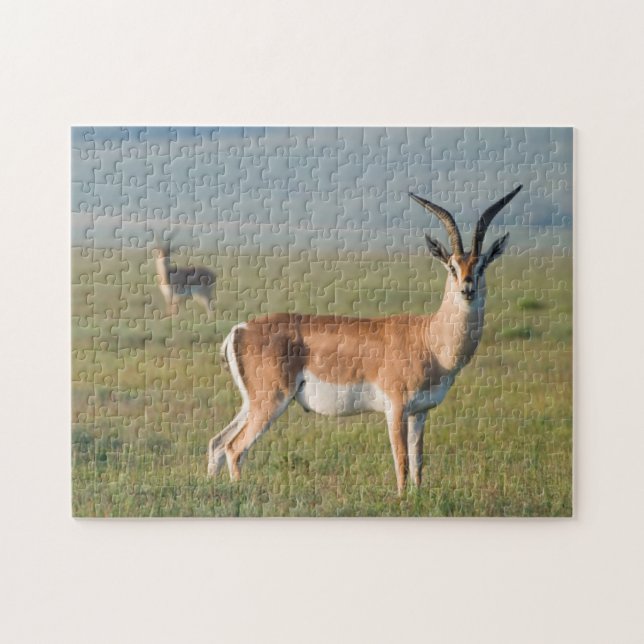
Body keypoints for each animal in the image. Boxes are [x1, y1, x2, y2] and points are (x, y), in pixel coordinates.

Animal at [208, 186, 522, 492]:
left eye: (482, 265)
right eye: (451, 266)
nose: (467, 289)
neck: (429, 340)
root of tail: (240, 329)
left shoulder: (419, 413)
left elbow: (418, 463)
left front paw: (418, 498)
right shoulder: (396, 408)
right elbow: (402, 462)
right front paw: (401, 500)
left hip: (252, 402)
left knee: (217, 443)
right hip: (271, 401)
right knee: (235, 448)